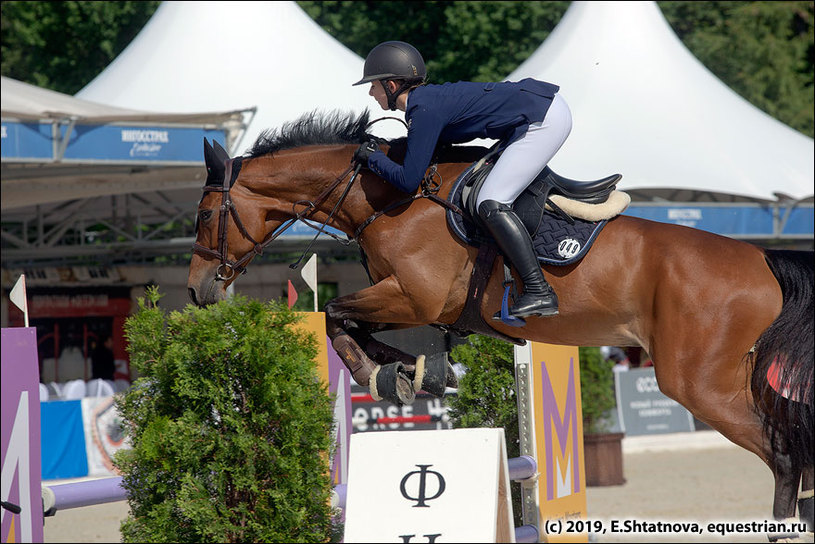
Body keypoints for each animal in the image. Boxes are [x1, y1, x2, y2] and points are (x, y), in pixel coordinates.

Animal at [186, 109, 815, 536]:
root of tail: (764, 260)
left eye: (205, 213)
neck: (388, 197)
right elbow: (359, 328)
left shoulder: (414, 298)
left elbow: (338, 319)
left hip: (698, 381)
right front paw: (414, 371)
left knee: (784, 453)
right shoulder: (412, 304)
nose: (196, 291)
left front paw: (385, 374)